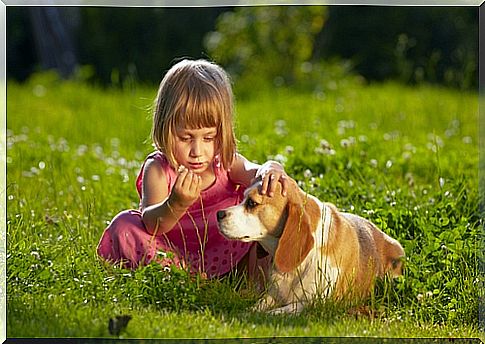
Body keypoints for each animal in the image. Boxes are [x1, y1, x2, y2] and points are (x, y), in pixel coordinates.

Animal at [216, 177, 404, 314]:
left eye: (252, 203)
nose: (219, 214)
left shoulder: (314, 303)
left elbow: (273, 312)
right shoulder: (272, 296)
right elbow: (256, 307)